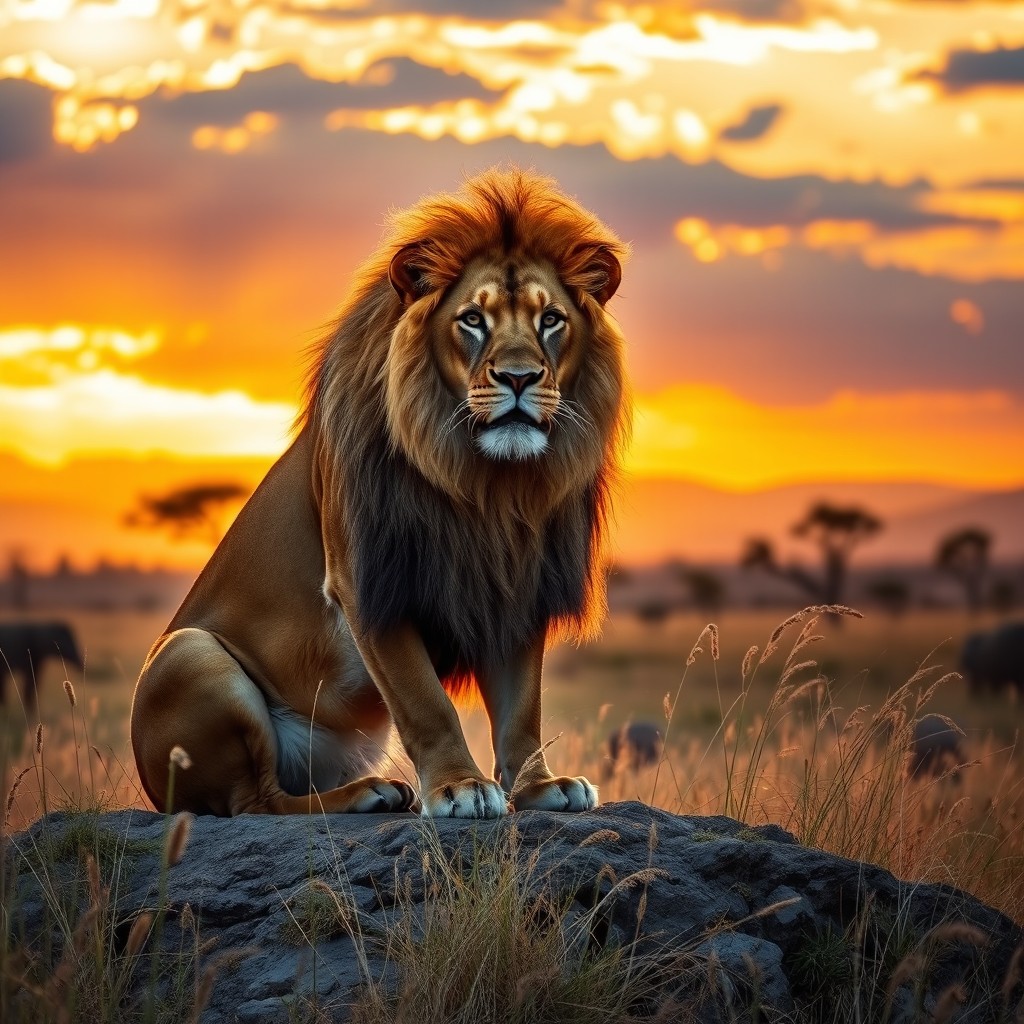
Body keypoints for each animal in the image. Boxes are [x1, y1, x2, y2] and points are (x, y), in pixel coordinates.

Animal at [130, 167, 630, 818]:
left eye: (551, 321)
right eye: (473, 320)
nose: (519, 378)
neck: (487, 484)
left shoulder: (515, 584)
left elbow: (522, 704)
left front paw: (540, 787)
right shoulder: (366, 576)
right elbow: (425, 701)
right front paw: (460, 787)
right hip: (187, 653)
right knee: (255, 801)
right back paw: (366, 793)